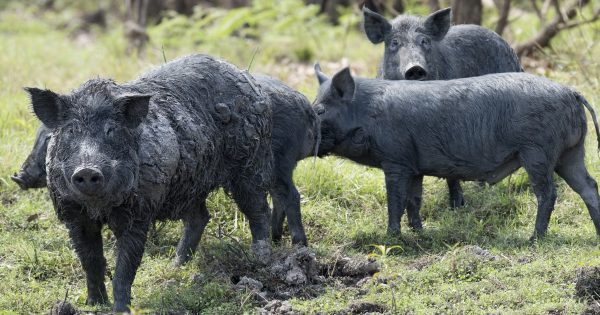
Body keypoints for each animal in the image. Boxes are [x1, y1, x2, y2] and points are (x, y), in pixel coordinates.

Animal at [24, 55, 274, 314]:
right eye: (71, 131)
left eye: (111, 130)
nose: (87, 169)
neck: (99, 208)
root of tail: (247, 78)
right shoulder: (73, 215)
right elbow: (90, 262)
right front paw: (94, 304)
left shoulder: (139, 212)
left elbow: (125, 268)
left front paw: (120, 310)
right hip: (190, 185)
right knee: (200, 217)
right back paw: (177, 266)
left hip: (250, 163)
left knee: (259, 209)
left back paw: (261, 259)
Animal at [312, 67, 600, 239]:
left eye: (320, 110)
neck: (366, 115)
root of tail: (571, 92)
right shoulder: (414, 167)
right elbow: (413, 200)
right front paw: (418, 233)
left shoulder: (395, 161)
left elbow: (395, 200)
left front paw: (392, 237)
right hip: (570, 153)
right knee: (589, 186)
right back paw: (596, 234)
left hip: (537, 151)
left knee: (548, 193)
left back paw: (534, 238)